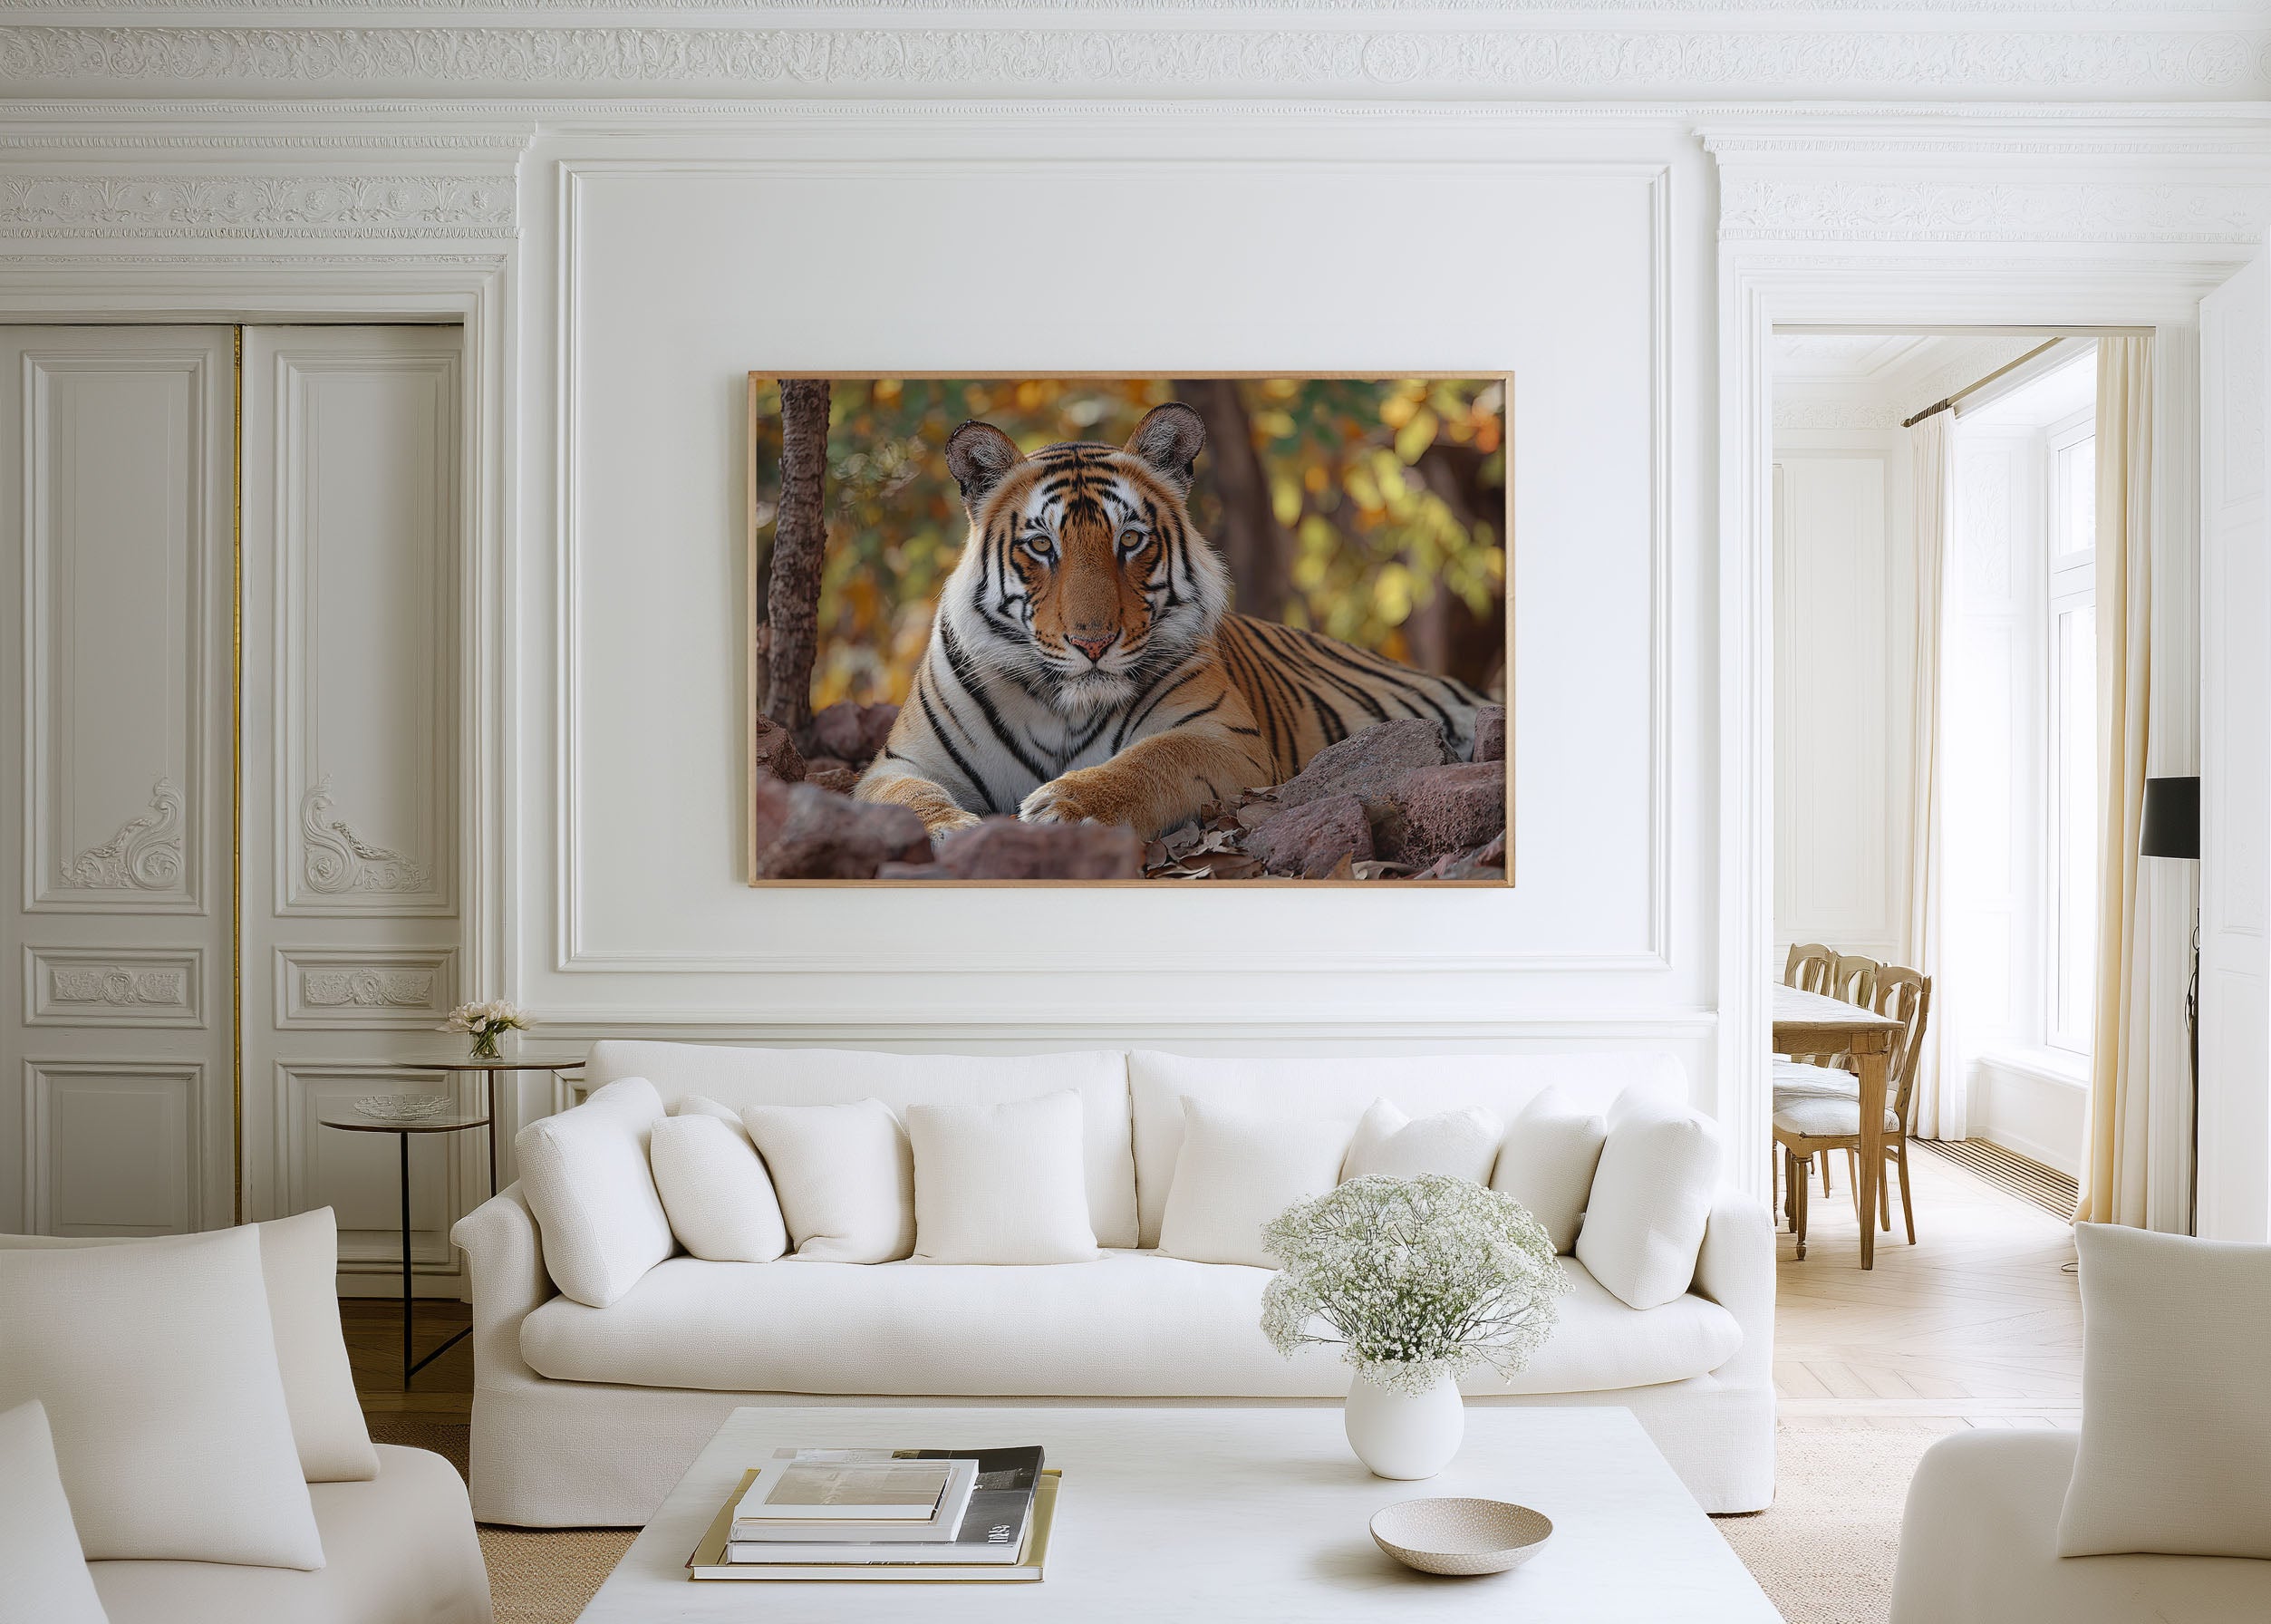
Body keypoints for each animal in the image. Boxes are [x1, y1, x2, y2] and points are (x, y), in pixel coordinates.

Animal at [855, 400, 1492, 843]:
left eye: (1130, 540)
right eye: (1040, 546)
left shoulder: (1222, 737)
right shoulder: (903, 762)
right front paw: (949, 830)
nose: (1093, 642)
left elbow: (1151, 762)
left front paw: (1061, 807)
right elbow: (906, 795)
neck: (1062, 710)